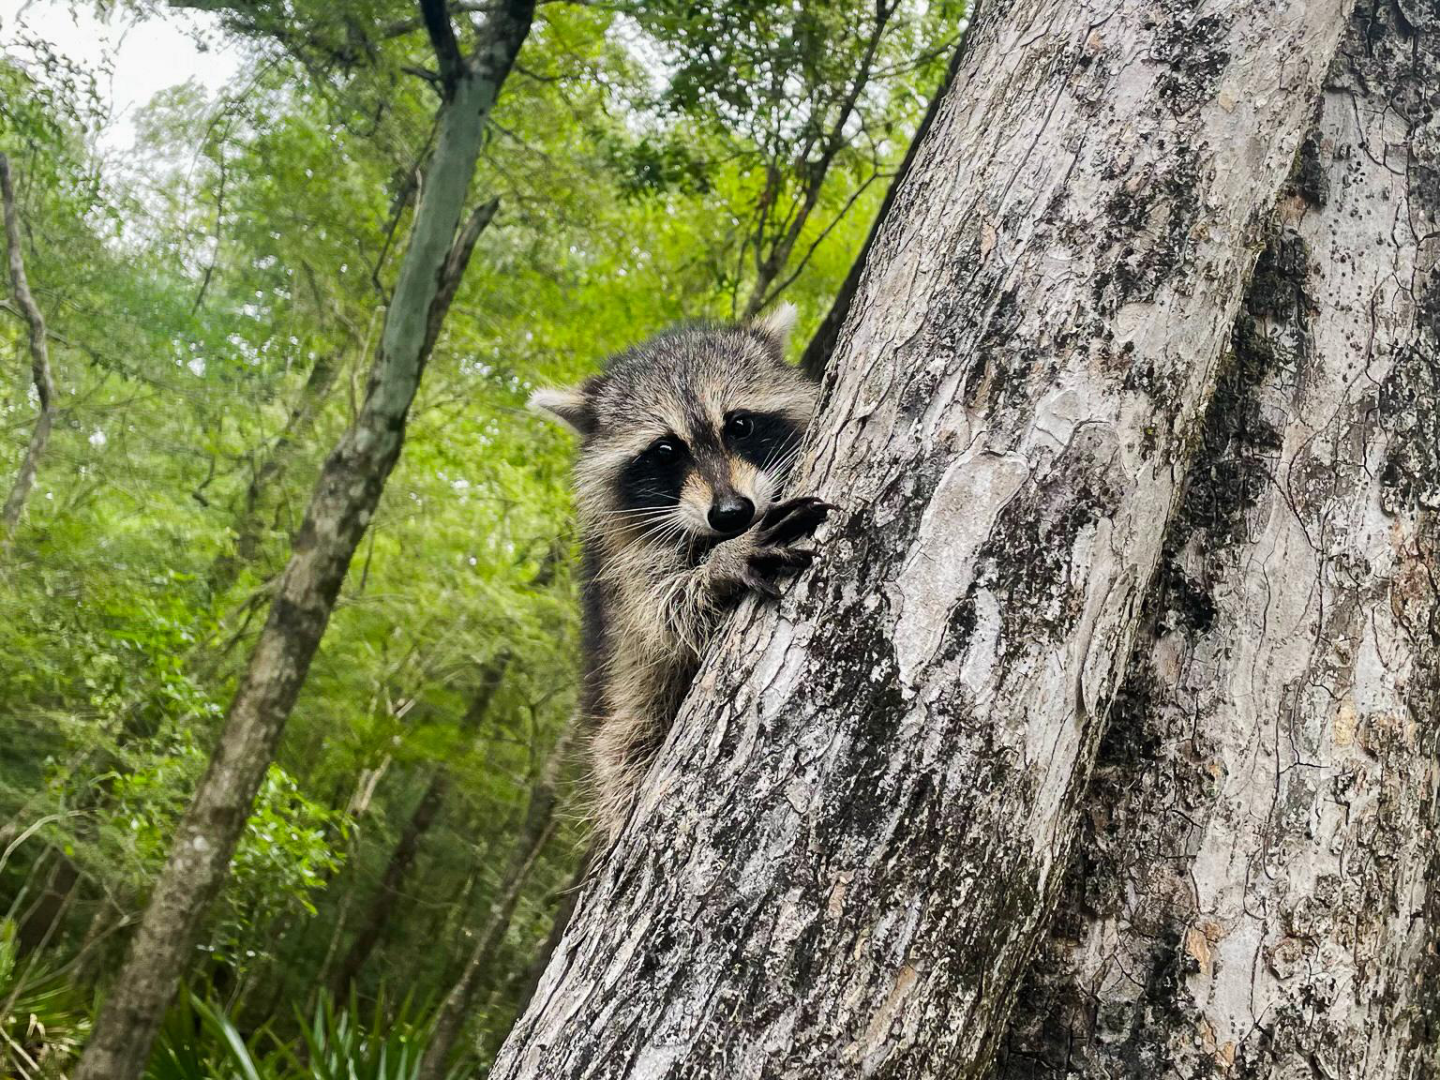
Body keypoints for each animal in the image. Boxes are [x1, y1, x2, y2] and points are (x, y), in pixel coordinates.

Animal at [531, 303, 830, 840]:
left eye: (739, 425)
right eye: (665, 451)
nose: (732, 514)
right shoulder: (624, 571)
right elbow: (666, 614)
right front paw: (720, 568)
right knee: (624, 749)